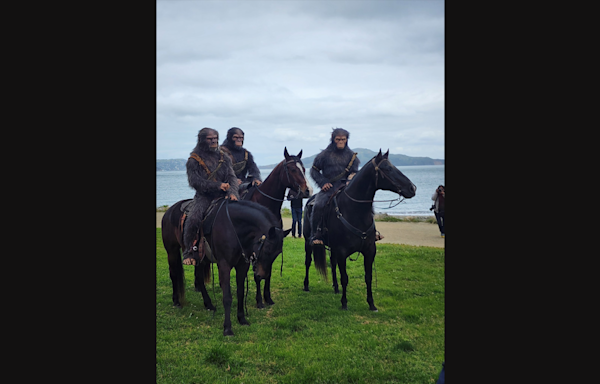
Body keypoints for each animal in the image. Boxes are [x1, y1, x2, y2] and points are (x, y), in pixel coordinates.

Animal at [161, 198, 290, 336]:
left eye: (277, 253)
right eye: (267, 250)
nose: (262, 275)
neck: (233, 228)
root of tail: (168, 211)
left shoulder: (242, 266)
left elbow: (240, 293)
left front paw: (242, 319)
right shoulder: (224, 266)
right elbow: (227, 297)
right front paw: (227, 328)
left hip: (200, 260)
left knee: (199, 279)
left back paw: (208, 304)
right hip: (172, 251)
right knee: (174, 274)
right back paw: (176, 301)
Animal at [241, 148, 312, 308]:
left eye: (304, 169)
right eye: (293, 169)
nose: (308, 190)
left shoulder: (272, 246)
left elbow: (268, 272)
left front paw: (268, 298)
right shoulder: (257, 246)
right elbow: (258, 274)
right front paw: (259, 300)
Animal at [302, 150, 414, 312]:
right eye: (387, 169)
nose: (412, 188)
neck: (354, 210)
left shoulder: (369, 251)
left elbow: (368, 277)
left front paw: (371, 304)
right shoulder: (342, 252)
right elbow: (345, 277)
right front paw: (344, 303)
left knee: (332, 263)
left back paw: (336, 288)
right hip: (308, 242)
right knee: (308, 261)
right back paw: (306, 285)